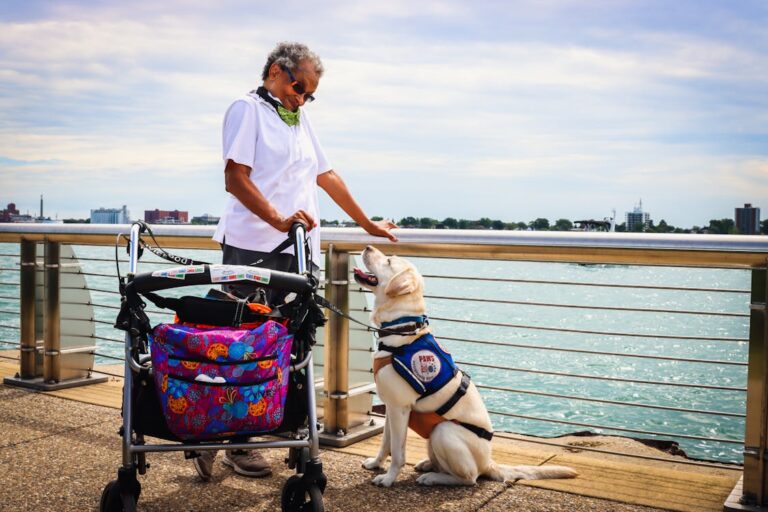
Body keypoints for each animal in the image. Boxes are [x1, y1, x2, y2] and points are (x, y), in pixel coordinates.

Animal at [354, 246, 576, 486]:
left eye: (388, 261)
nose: (367, 247)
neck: (403, 329)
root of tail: (488, 463)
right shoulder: (391, 407)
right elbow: (385, 443)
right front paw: (376, 464)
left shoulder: (399, 407)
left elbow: (397, 452)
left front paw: (388, 478)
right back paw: (428, 464)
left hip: (443, 431)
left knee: (469, 478)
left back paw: (432, 477)